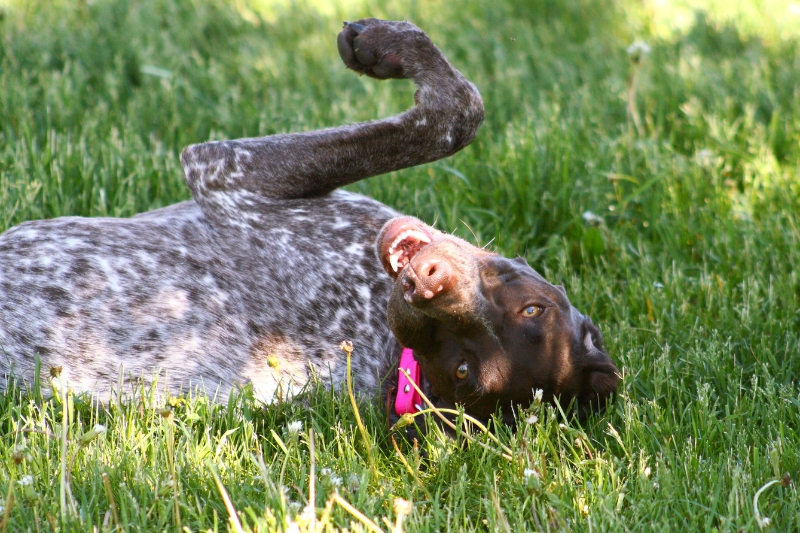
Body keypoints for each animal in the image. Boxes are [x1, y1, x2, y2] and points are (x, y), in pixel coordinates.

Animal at [0, 18, 620, 422]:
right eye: (533, 308)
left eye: (464, 372)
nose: (425, 284)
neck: (379, 341)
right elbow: (460, 116)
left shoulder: (224, 174)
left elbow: (457, 113)